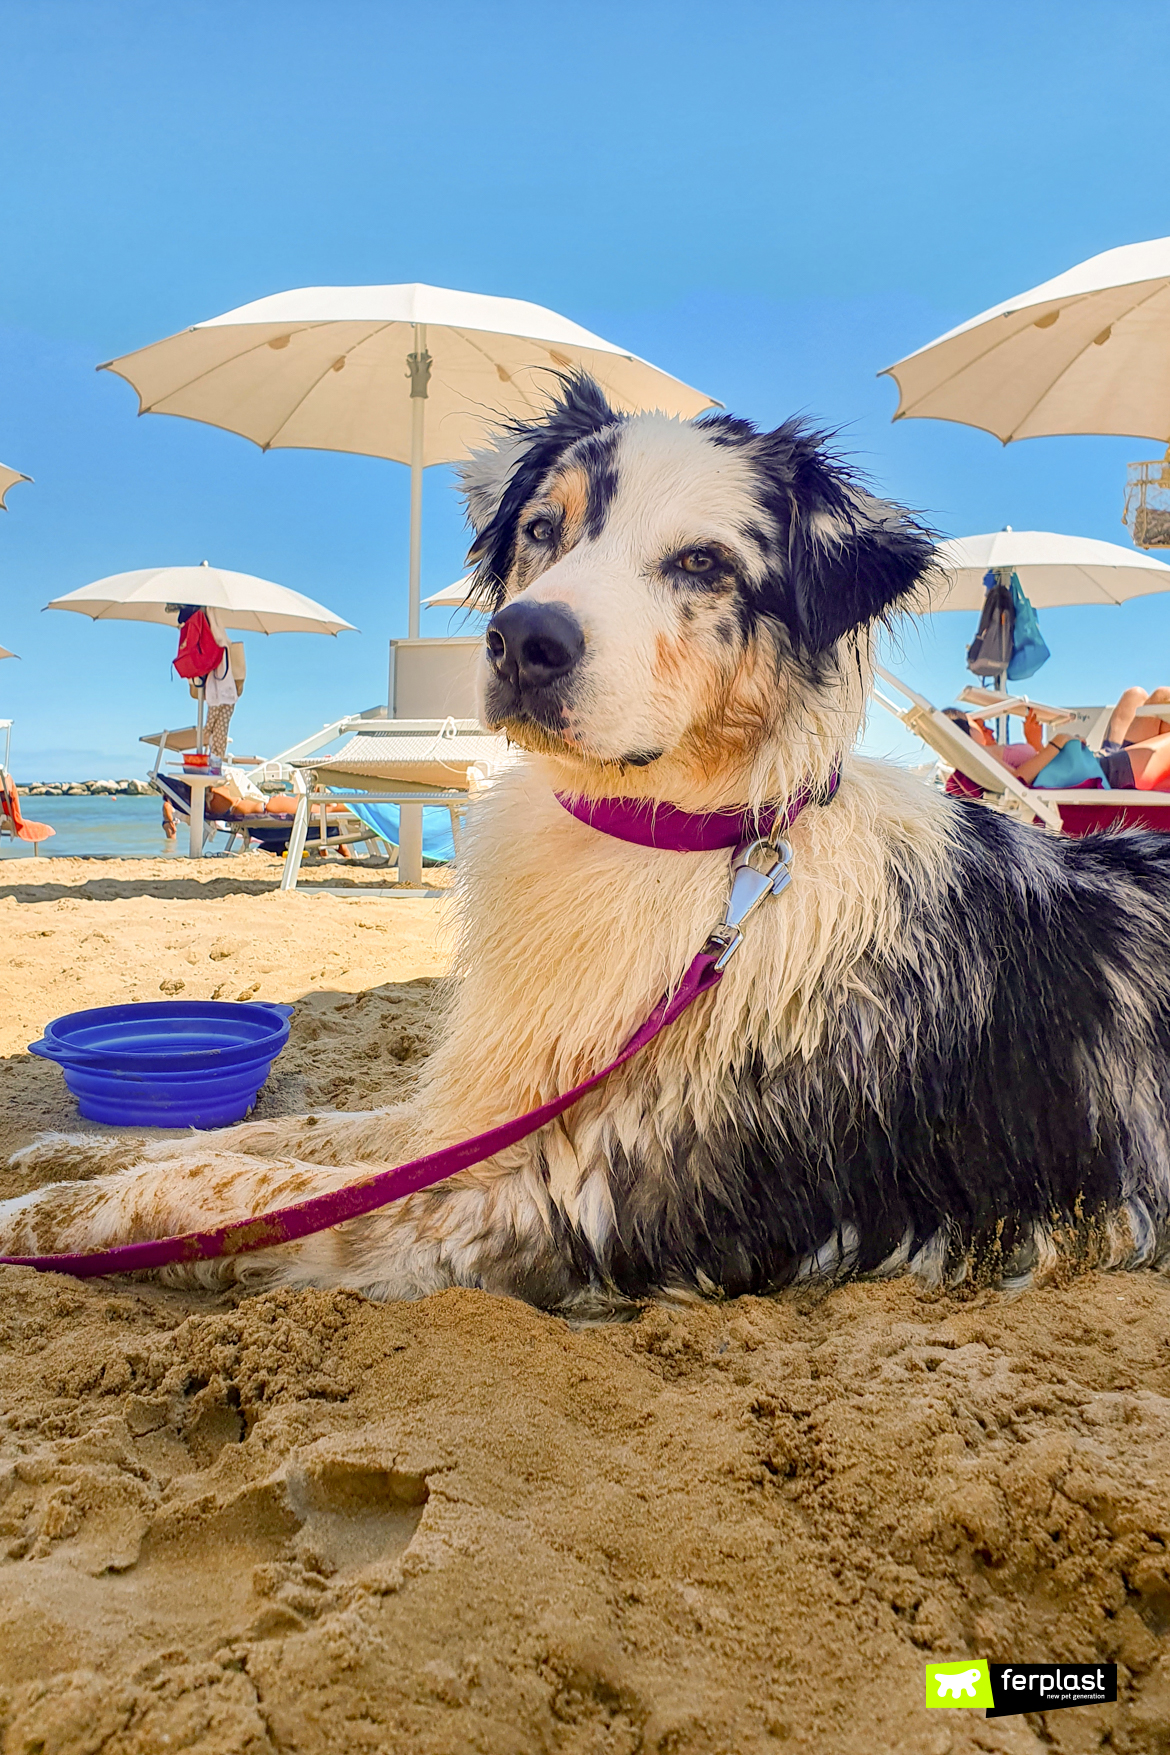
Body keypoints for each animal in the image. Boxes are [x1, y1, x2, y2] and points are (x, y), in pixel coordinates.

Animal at [2, 377, 1170, 1312]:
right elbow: (283, 1137)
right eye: (540, 528)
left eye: (702, 562)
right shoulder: (487, 1107)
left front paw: (40, 1220)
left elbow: (231, 1192)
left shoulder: (549, 1203)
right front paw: (66, 1151)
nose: (524, 638)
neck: (680, 845)